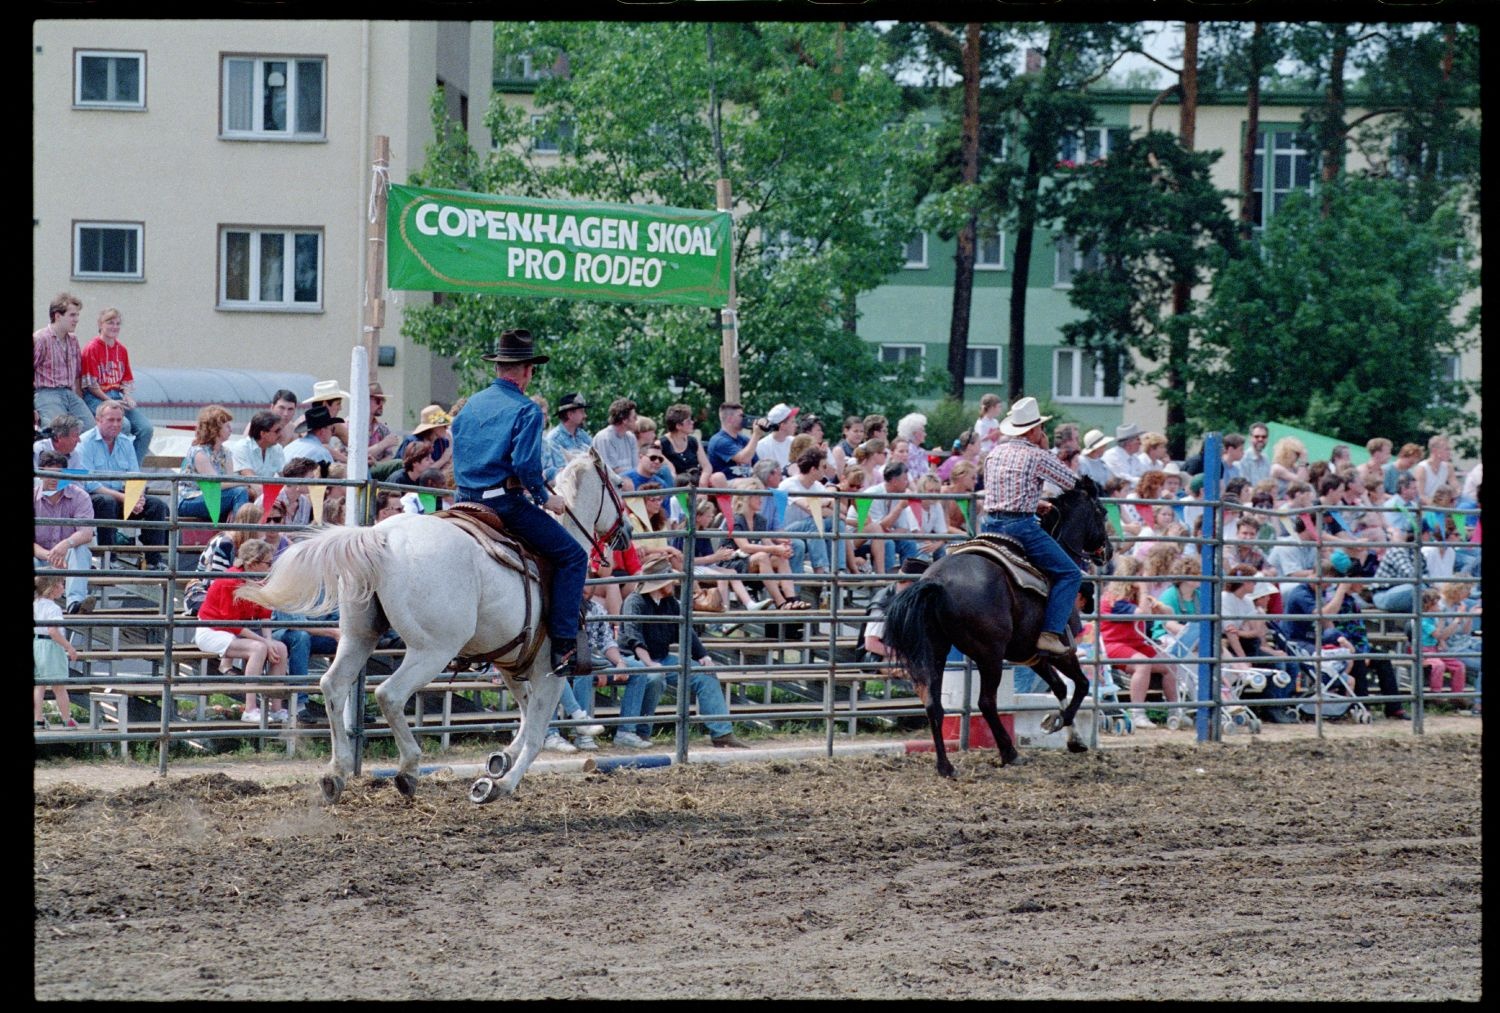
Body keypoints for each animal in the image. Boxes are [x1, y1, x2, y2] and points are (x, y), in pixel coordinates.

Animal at [240, 453, 627, 810]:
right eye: (620, 485)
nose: (626, 534)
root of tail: (380, 535)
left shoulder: (510, 663)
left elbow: (526, 709)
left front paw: (501, 759)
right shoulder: (550, 670)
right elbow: (535, 733)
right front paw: (498, 784)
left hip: (358, 637)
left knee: (334, 686)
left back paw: (336, 774)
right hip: (431, 651)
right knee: (389, 694)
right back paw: (408, 769)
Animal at [876, 480, 1116, 780]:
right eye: (1102, 512)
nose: (1108, 551)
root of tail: (938, 581)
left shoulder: (1032, 655)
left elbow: (1060, 687)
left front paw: (1074, 739)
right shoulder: (1061, 651)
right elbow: (1081, 685)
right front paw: (1058, 723)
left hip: (935, 651)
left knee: (934, 705)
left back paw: (946, 766)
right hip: (989, 655)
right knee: (986, 702)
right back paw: (1009, 753)